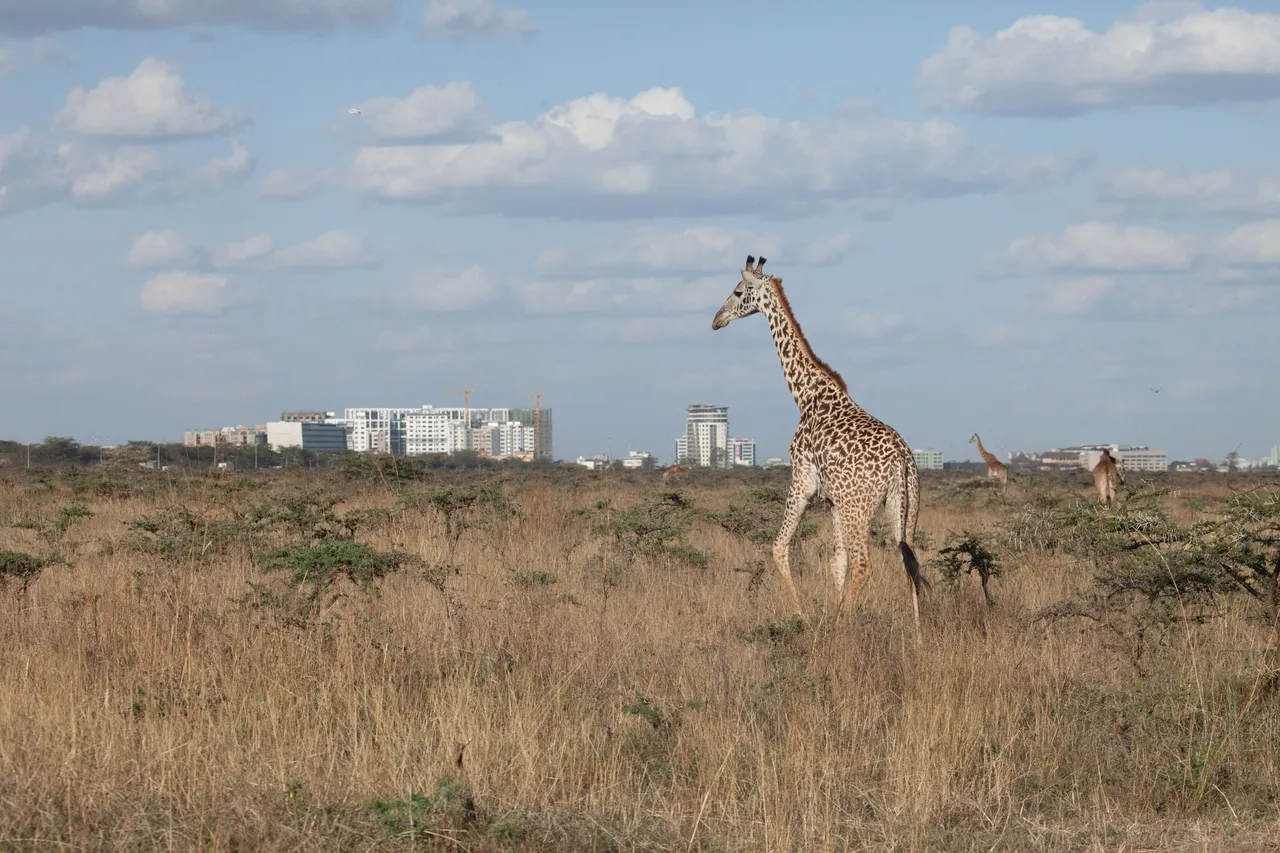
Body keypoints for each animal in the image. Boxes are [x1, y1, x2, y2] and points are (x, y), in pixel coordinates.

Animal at [711, 252, 931, 625]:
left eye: (739, 292)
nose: (716, 320)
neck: (806, 393)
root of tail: (901, 460)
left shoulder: (803, 479)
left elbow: (779, 546)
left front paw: (803, 614)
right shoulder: (832, 500)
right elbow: (836, 561)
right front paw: (830, 611)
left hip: (859, 506)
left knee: (865, 565)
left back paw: (847, 625)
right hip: (904, 506)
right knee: (909, 561)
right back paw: (916, 631)